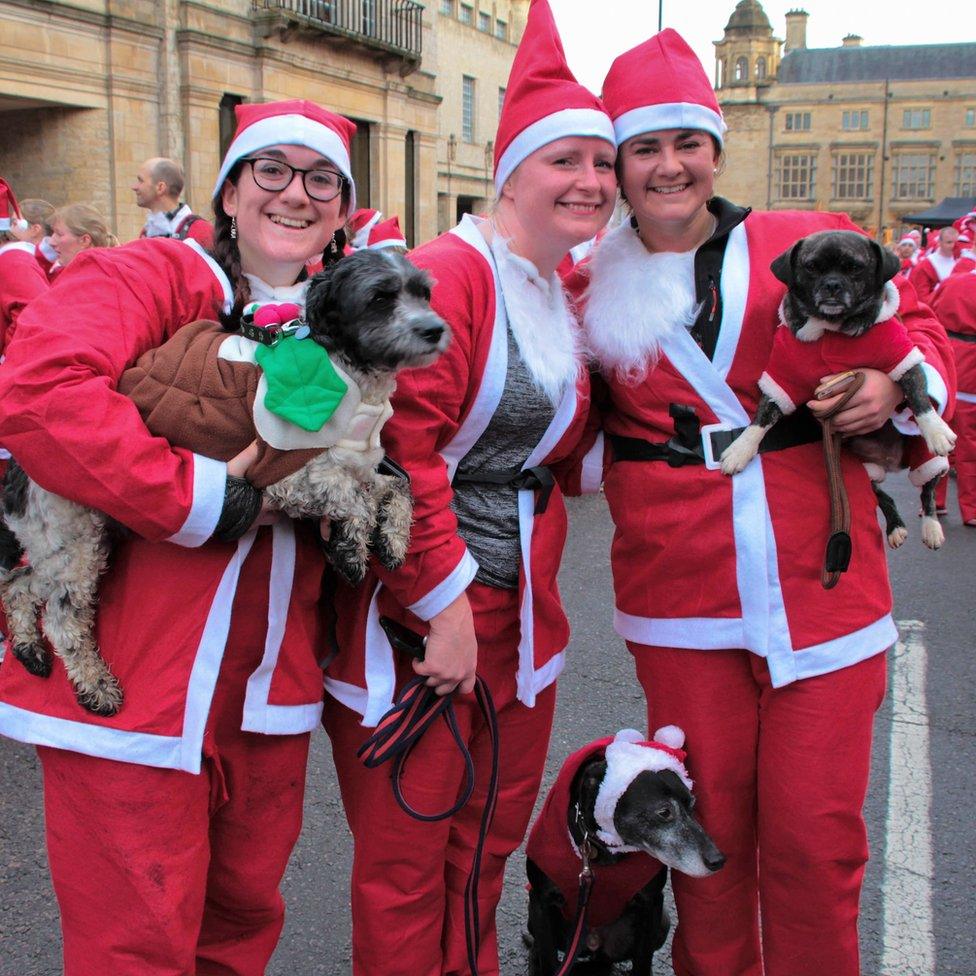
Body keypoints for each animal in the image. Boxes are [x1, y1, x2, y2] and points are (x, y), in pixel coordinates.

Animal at [528, 728, 724, 972]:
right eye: (664, 812)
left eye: (692, 805)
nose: (718, 860)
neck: (604, 853)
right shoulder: (541, 902)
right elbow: (547, 958)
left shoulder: (651, 906)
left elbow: (643, 962)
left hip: (662, 923)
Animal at [720, 227, 956, 548]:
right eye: (811, 267)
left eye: (855, 267)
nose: (832, 285)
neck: (831, 329)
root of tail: (890, 462)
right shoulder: (781, 380)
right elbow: (761, 418)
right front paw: (740, 450)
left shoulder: (902, 358)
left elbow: (918, 396)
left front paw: (936, 429)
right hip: (864, 469)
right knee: (884, 496)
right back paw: (895, 526)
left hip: (925, 458)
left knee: (927, 489)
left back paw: (931, 527)